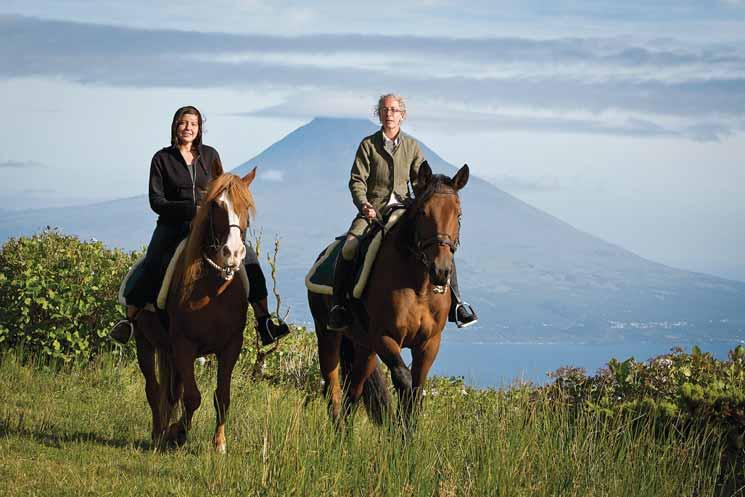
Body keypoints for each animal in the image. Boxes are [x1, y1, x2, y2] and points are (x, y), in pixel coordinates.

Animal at [129, 165, 254, 452]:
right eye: (217, 205)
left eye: (247, 206)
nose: (232, 253)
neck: (213, 289)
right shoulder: (184, 344)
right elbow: (193, 397)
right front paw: (177, 433)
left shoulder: (231, 346)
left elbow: (222, 395)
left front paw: (219, 443)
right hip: (144, 341)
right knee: (154, 389)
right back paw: (158, 433)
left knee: (170, 392)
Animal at [306, 163, 468, 430]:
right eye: (423, 212)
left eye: (459, 215)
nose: (441, 271)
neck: (419, 286)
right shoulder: (384, 337)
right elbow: (404, 380)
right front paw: (399, 432)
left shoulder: (429, 343)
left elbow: (416, 389)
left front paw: (408, 435)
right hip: (328, 335)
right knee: (334, 391)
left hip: (364, 348)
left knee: (354, 393)